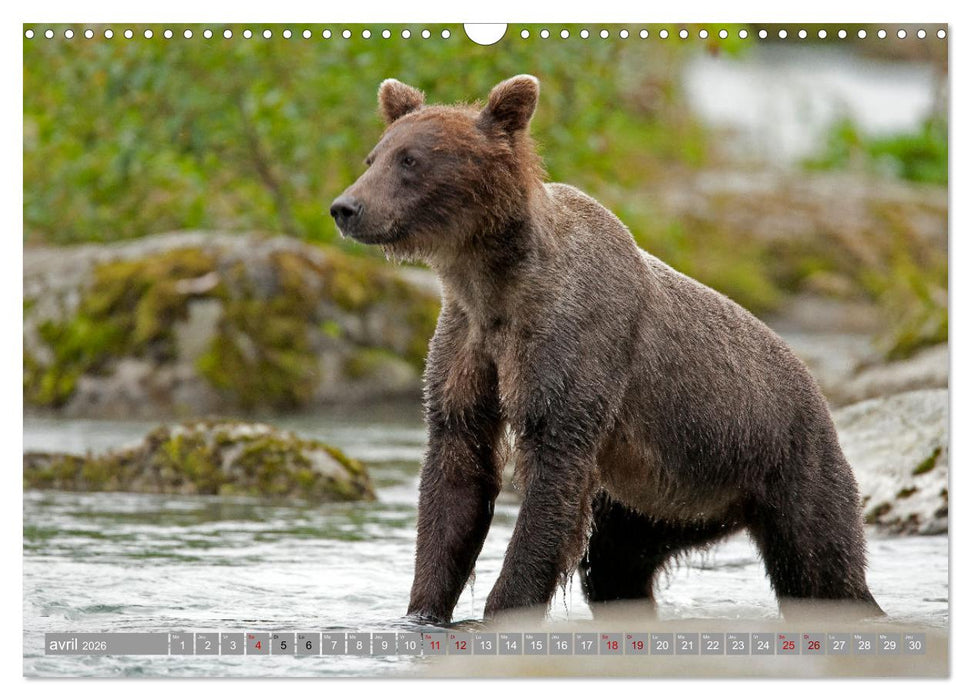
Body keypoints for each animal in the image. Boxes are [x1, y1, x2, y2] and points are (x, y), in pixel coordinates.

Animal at [330, 75, 884, 624]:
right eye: (374, 157)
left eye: (411, 160)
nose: (345, 207)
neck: (494, 285)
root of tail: (815, 388)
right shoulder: (467, 346)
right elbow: (457, 476)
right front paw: (422, 612)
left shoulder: (573, 343)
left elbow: (551, 480)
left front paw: (505, 605)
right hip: (656, 497)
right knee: (617, 565)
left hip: (782, 462)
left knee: (821, 565)